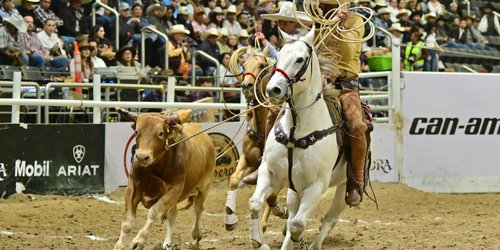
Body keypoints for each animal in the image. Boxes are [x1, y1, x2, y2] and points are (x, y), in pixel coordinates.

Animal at [226, 45, 288, 230]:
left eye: (261, 65)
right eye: (244, 64)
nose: (247, 85)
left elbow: (272, 195)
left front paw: (278, 212)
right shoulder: (248, 160)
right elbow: (234, 179)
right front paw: (230, 218)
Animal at [247, 28, 348, 249]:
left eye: (300, 59)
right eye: (278, 57)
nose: (273, 90)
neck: (296, 131)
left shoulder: (316, 186)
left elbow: (298, 225)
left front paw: (299, 241)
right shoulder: (269, 172)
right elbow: (255, 204)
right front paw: (258, 242)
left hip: (345, 188)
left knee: (329, 220)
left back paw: (314, 244)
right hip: (295, 189)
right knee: (293, 212)